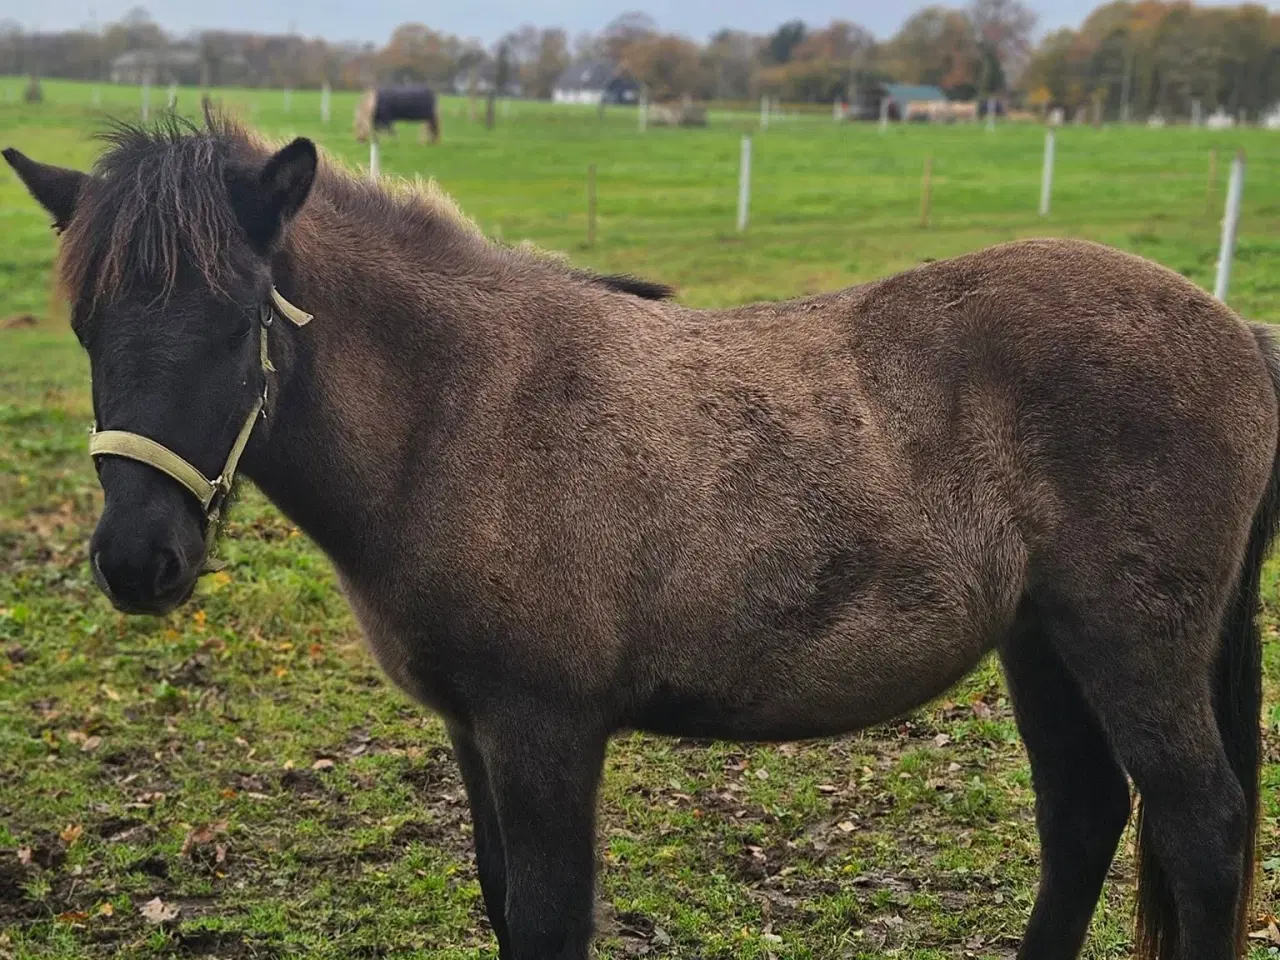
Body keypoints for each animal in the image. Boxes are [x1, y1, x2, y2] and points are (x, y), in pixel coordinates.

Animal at [5, 108, 1274, 960]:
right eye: (87, 325)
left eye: (236, 322)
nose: (138, 561)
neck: (463, 409)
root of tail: (1236, 330)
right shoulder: (476, 730)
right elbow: (502, 904)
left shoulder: (546, 730)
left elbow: (548, 919)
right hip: (1041, 643)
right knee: (1083, 818)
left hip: (1130, 646)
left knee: (1201, 829)